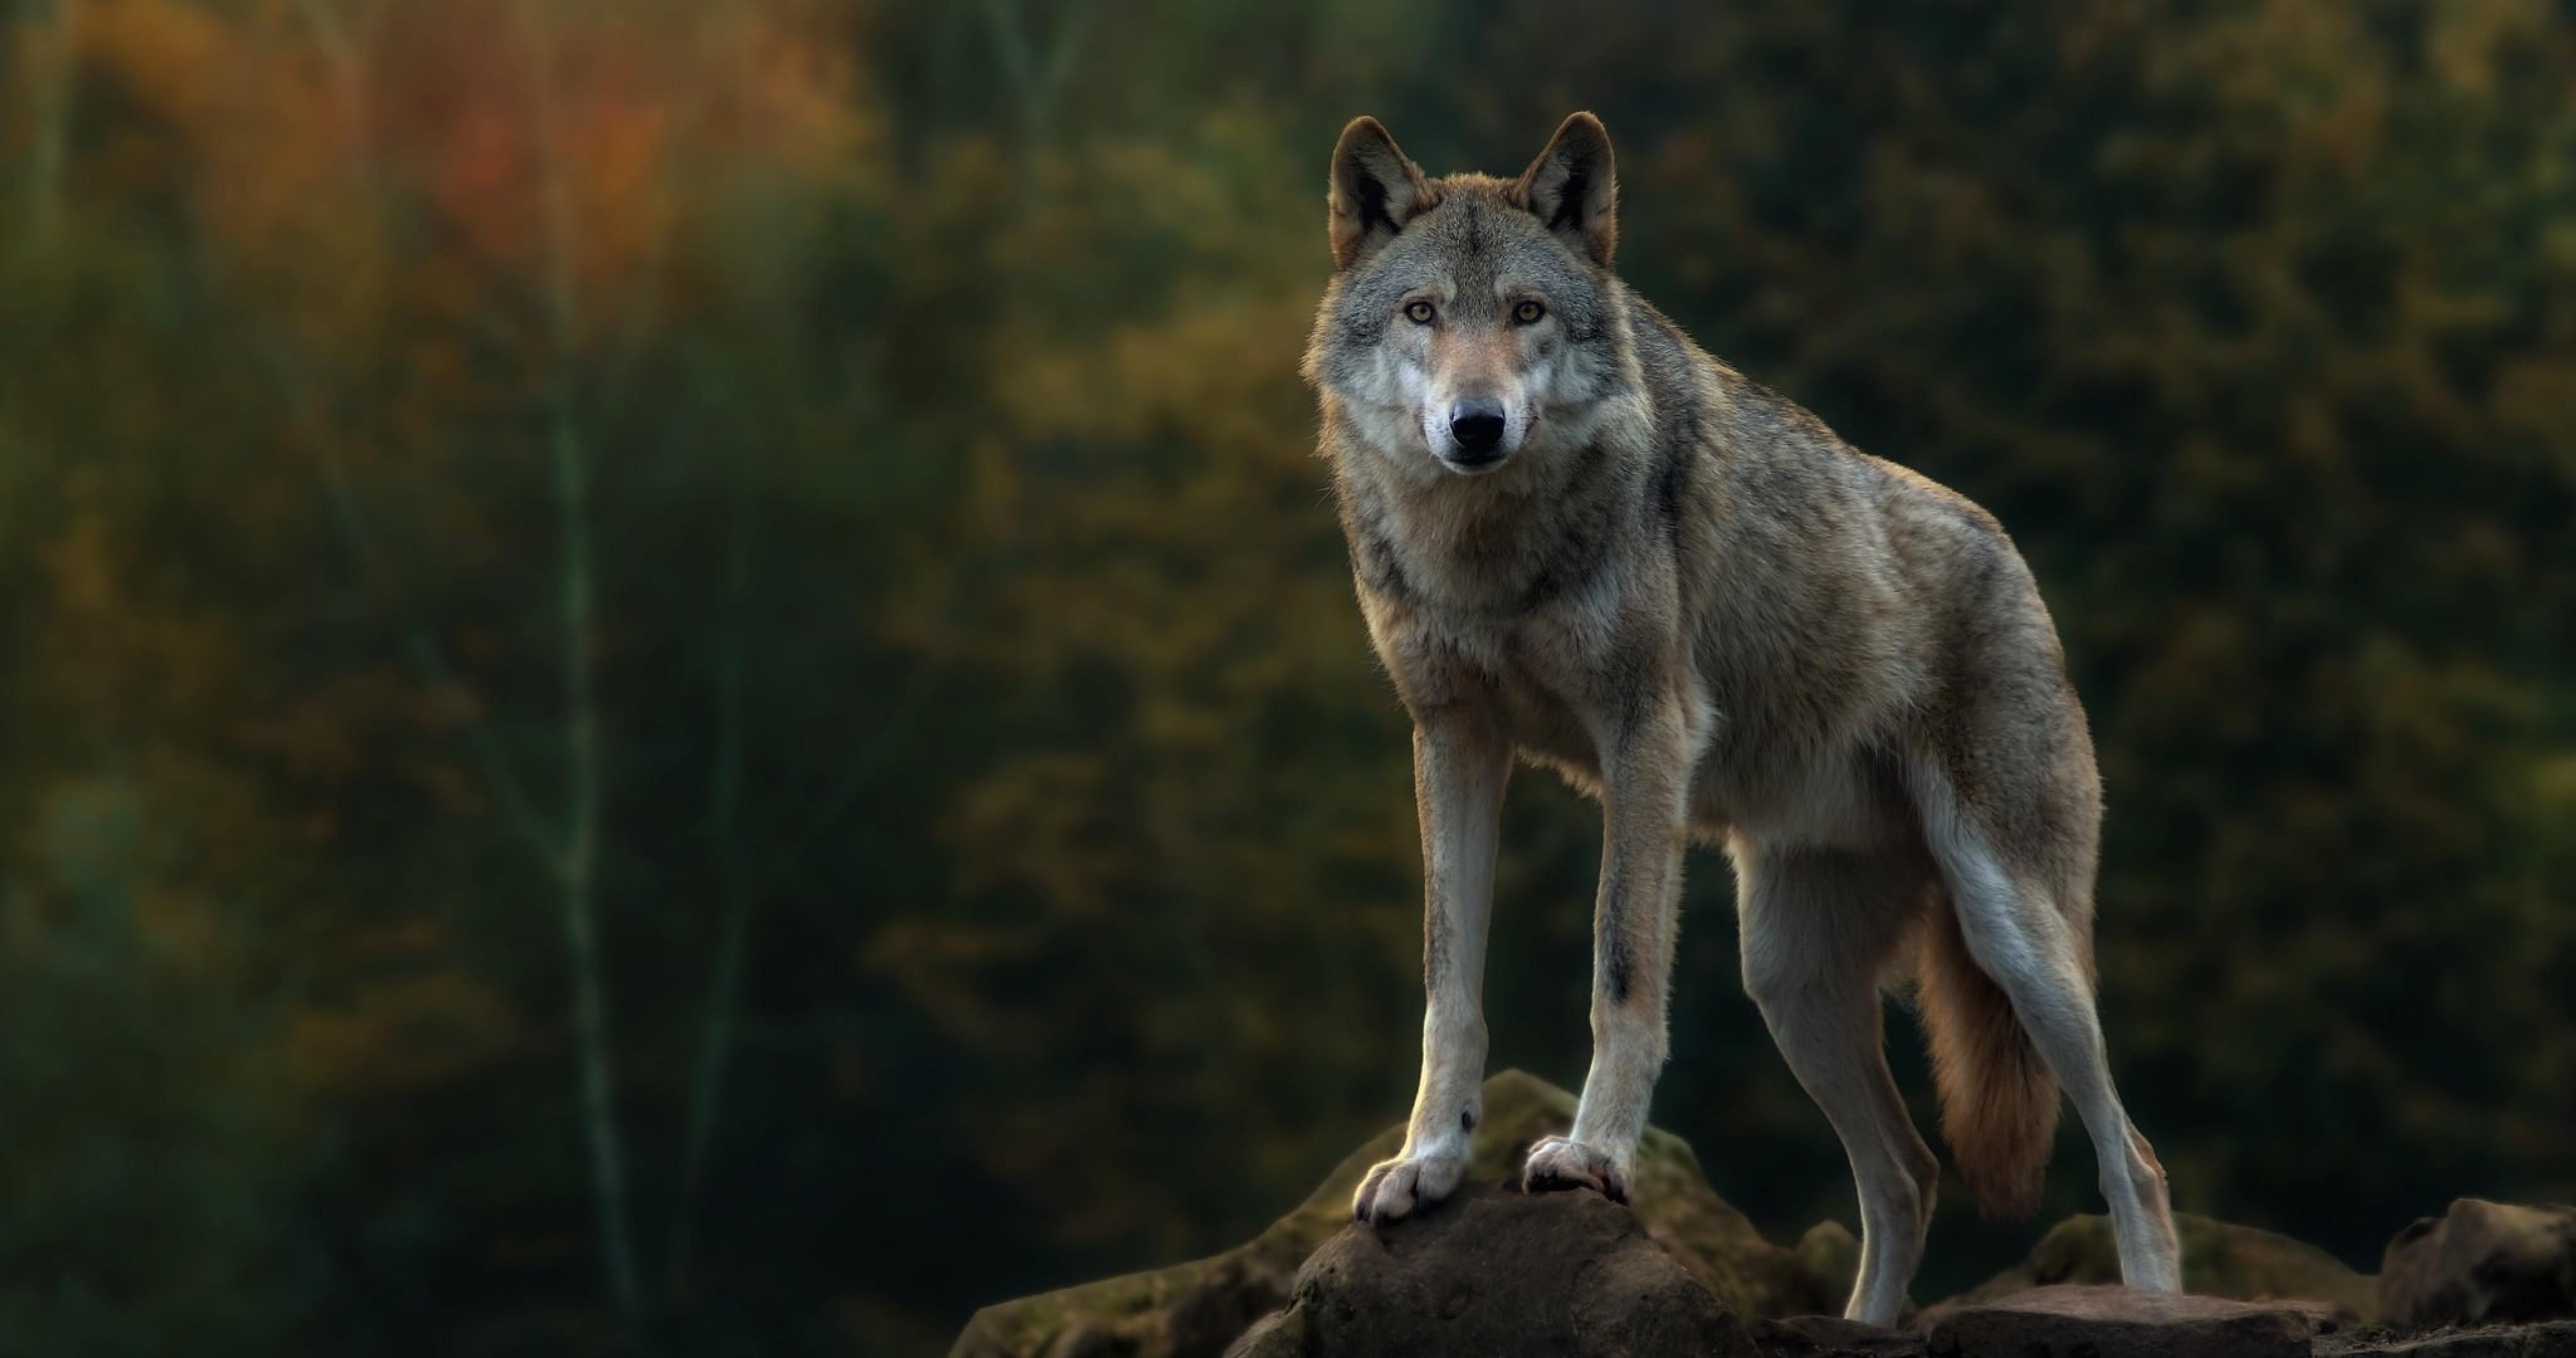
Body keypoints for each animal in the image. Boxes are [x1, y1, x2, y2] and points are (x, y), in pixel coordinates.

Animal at [1301, 112, 2183, 1324]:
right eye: (1423, 313)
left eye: (1526, 312)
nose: (1476, 426)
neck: (1488, 554)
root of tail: (2013, 559)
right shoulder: (1452, 741)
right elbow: (1451, 989)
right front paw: (1429, 1164)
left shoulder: (1647, 736)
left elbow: (1620, 971)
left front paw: (1592, 1156)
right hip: (1787, 978)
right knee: (1908, 1175)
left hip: (2014, 938)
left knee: (2130, 1158)